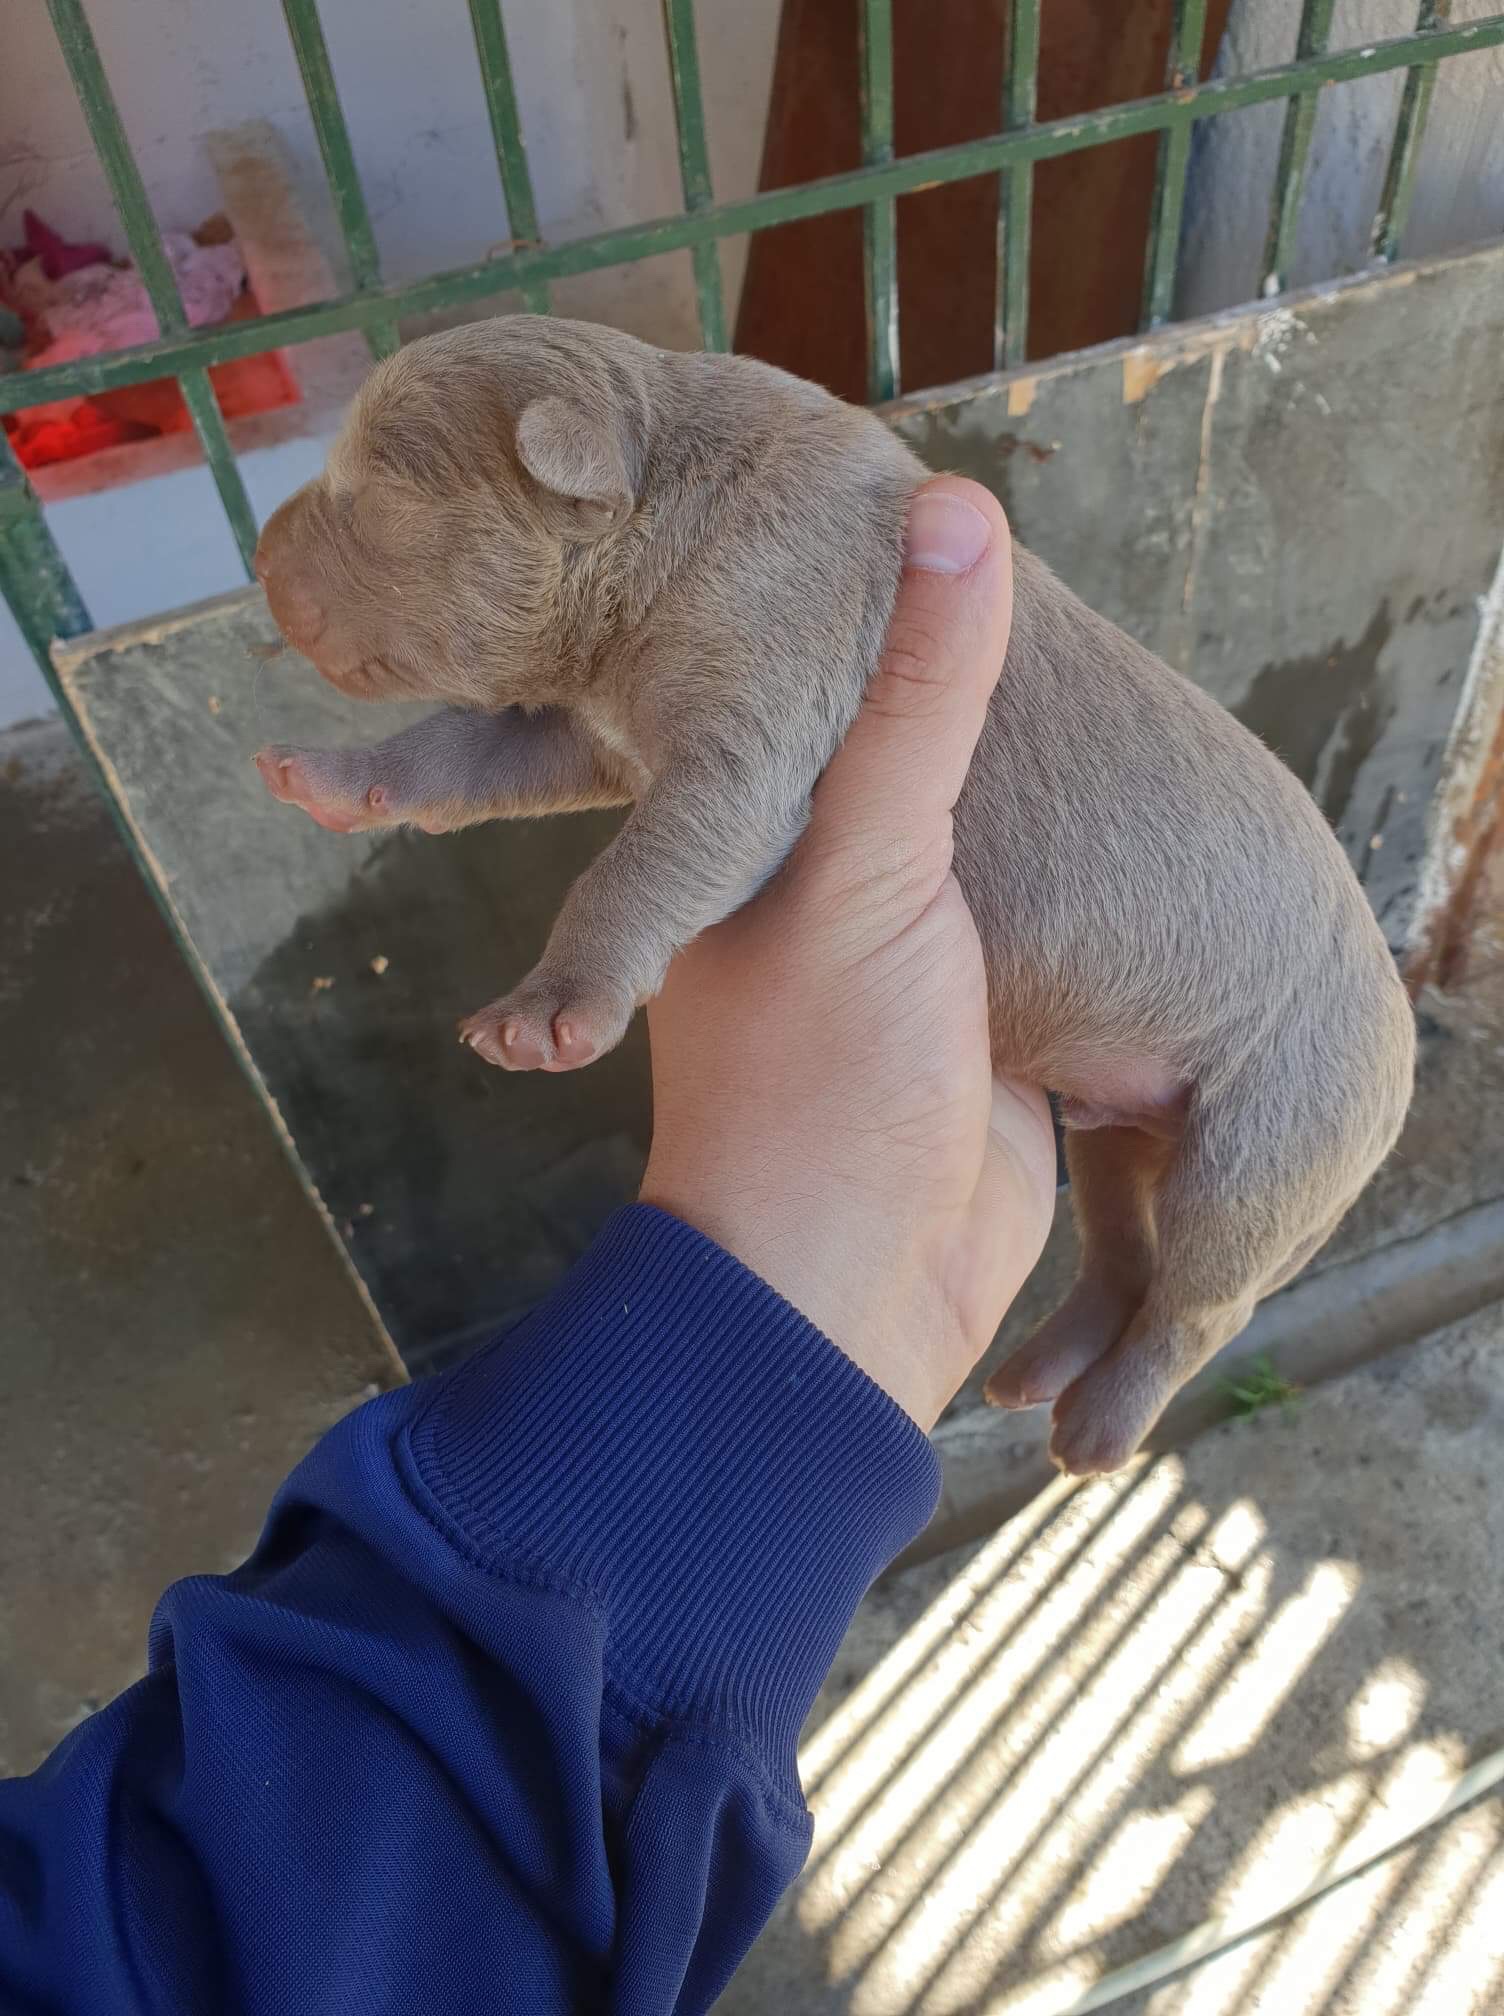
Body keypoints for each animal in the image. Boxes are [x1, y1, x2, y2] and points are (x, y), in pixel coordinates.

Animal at [251, 315, 1414, 1475]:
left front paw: (538, 1023)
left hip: (1273, 1135)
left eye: (379, 495)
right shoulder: (588, 726)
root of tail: (1397, 1049)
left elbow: (637, 863)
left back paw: (1094, 1433)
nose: (258, 554)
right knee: (1119, 1248)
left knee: (1202, 1301)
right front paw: (315, 779)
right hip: (1125, 1133)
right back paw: (1035, 1378)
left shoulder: (762, 693)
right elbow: (468, 751)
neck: (659, 523)